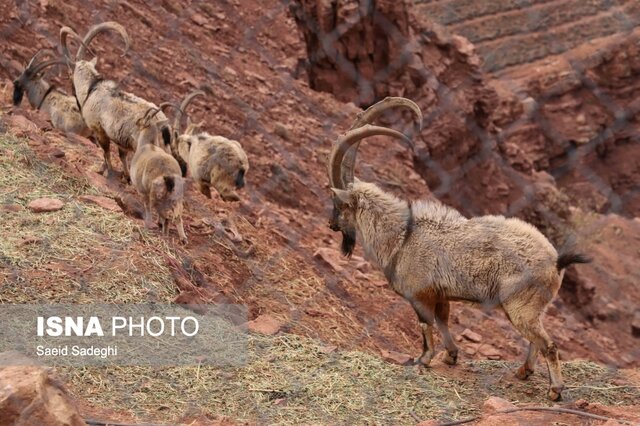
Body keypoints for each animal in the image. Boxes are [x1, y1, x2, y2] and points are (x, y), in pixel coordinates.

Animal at [61, 22, 172, 181]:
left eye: (70, 72)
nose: (71, 88)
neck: (91, 89)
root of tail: (163, 126)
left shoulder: (99, 130)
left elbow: (106, 152)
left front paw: (106, 171)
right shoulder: (121, 141)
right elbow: (122, 155)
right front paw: (125, 176)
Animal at [130, 109, 188, 243]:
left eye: (140, 121)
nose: (132, 134)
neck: (147, 145)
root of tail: (169, 175)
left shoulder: (143, 191)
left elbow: (147, 208)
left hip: (156, 196)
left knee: (165, 216)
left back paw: (163, 231)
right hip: (178, 197)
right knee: (177, 216)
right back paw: (183, 238)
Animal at [328, 95, 592, 400]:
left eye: (339, 205)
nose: (331, 225)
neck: (403, 235)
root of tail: (556, 260)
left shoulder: (419, 294)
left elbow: (425, 325)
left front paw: (423, 359)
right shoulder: (440, 295)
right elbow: (443, 321)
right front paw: (451, 356)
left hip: (520, 305)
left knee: (548, 343)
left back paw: (554, 390)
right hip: (532, 308)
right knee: (536, 340)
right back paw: (523, 372)